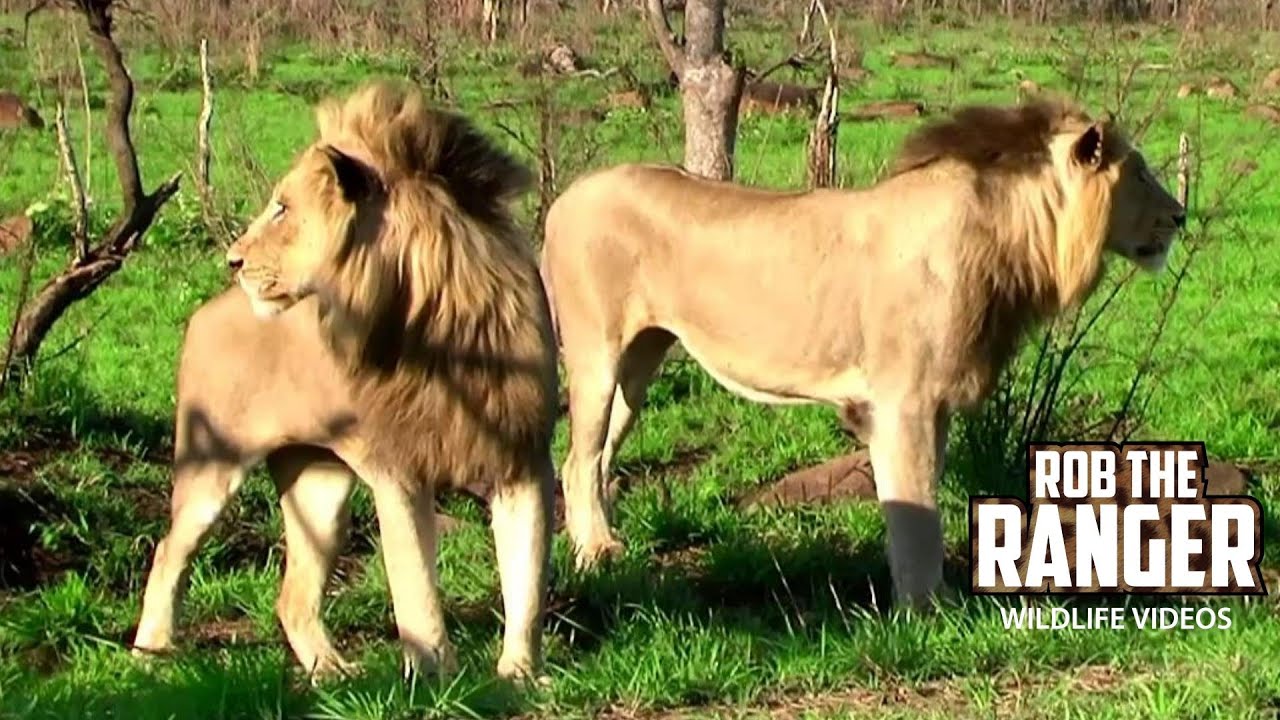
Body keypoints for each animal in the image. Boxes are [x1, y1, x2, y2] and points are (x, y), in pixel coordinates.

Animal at [132, 80, 560, 682]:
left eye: (283, 208)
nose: (233, 260)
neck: (439, 324)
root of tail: (203, 314)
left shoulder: (522, 460)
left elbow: (528, 580)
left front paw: (521, 675)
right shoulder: (398, 469)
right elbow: (415, 587)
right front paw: (436, 677)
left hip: (319, 484)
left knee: (292, 596)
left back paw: (330, 671)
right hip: (211, 469)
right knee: (169, 550)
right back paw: (151, 652)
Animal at [540, 98, 1185, 606]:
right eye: (1141, 173)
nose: (1181, 216)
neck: (1012, 240)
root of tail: (563, 199)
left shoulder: (936, 403)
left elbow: (918, 500)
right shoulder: (906, 401)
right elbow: (916, 510)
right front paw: (927, 610)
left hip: (639, 363)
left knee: (593, 459)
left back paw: (599, 548)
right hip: (596, 355)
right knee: (577, 459)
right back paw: (596, 553)